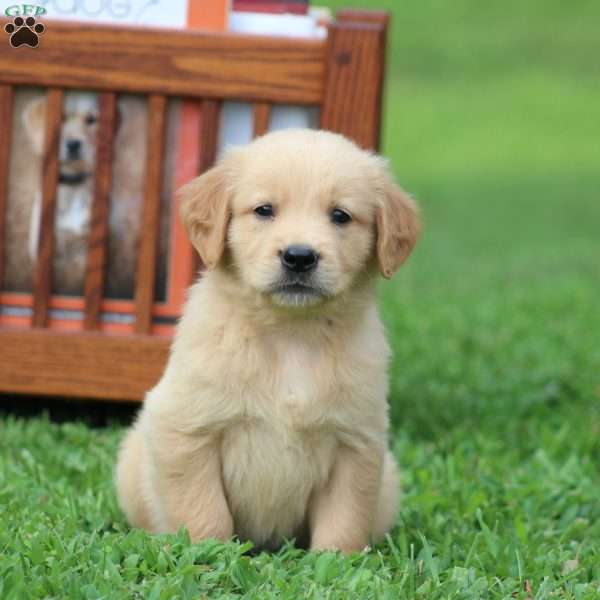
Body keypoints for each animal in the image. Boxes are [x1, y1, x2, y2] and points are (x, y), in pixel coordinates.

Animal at [115, 130, 420, 552]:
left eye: (340, 215)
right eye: (264, 210)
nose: (299, 257)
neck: (289, 333)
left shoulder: (357, 442)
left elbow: (344, 520)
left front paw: (336, 561)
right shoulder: (185, 428)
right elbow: (204, 510)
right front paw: (207, 555)